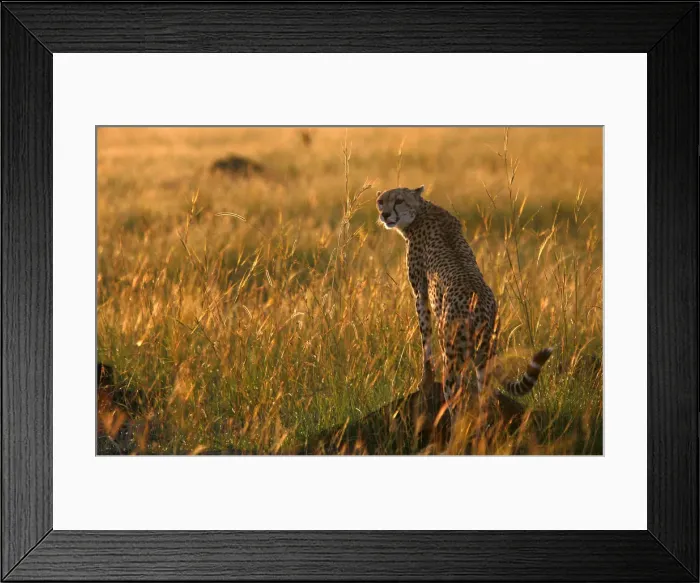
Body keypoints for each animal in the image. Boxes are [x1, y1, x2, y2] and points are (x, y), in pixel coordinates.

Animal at [376, 185, 553, 411]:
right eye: (381, 201)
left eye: (398, 200)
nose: (385, 214)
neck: (421, 211)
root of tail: (481, 310)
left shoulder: (420, 294)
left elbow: (426, 343)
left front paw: (425, 381)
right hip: (483, 356)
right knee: (485, 398)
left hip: (453, 356)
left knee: (455, 399)